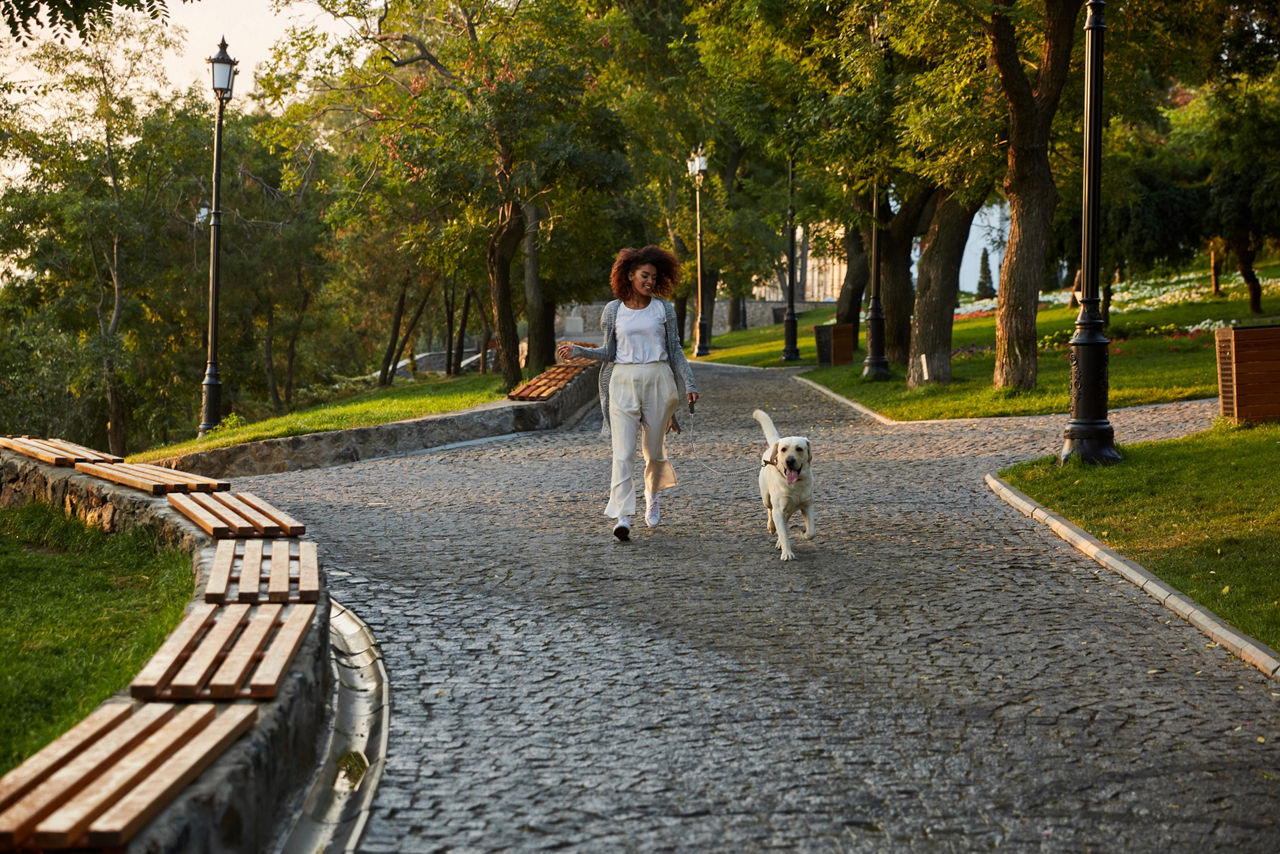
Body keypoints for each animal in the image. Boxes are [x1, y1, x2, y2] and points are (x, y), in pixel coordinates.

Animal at [752, 409, 814, 560]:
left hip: (788, 508)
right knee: (770, 511)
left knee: (785, 521)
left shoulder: (807, 505)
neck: (794, 485)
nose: (789, 461)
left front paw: (804, 533)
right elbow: (784, 534)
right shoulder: (778, 509)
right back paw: (772, 527)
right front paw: (787, 553)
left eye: (799, 449)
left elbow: (811, 532)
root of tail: (775, 443)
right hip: (766, 498)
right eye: (784, 449)